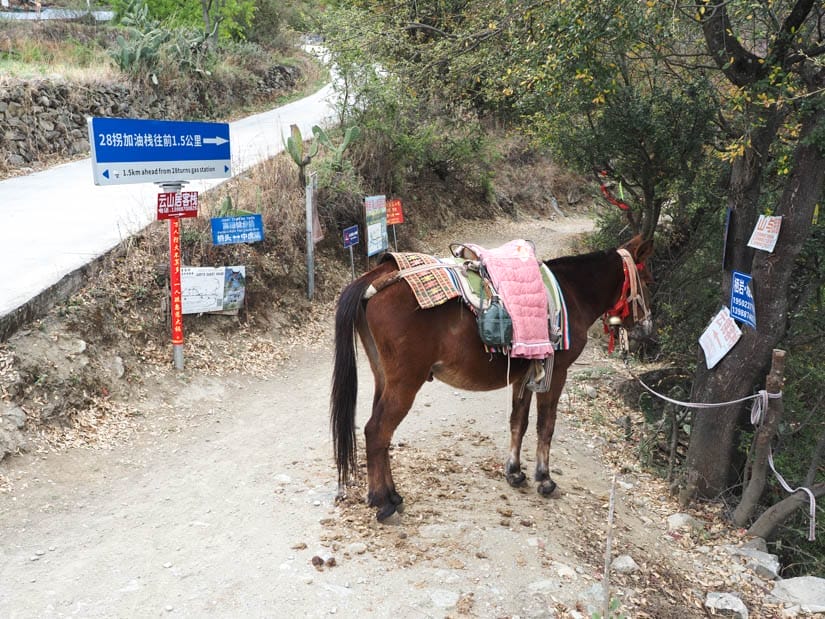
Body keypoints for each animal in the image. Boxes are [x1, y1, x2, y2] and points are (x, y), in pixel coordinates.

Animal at [330, 234, 654, 521]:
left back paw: (390, 494)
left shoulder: (525, 375)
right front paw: (544, 479)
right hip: (405, 383)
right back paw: (383, 501)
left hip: (384, 379)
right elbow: (546, 426)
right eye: (647, 279)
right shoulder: (556, 373)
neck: (572, 293)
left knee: (379, 434)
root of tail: (377, 276)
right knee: (377, 431)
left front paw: (515, 472)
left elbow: (518, 422)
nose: (647, 328)